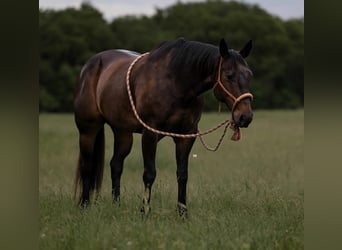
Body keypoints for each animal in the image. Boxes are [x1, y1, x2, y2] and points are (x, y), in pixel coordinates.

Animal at [73, 37, 254, 217]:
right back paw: (84, 205)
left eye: (249, 75)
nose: (245, 117)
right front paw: (144, 212)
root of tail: (90, 65)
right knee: (87, 166)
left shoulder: (186, 136)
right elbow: (149, 173)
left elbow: (182, 174)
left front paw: (182, 213)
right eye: (229, 75)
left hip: (123, 133)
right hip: (88, 130)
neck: (176, 83)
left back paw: (116, 205)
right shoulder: (150, 133)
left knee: (116, 165)